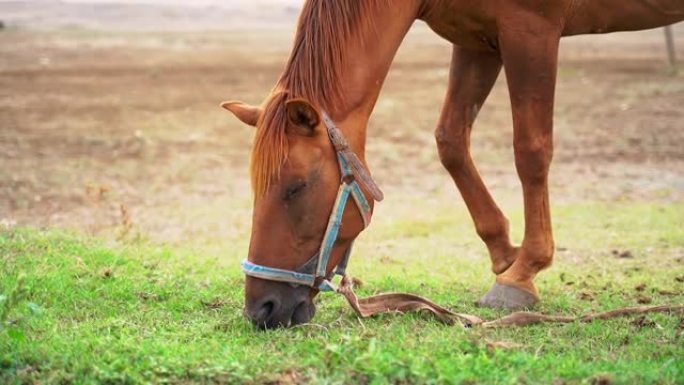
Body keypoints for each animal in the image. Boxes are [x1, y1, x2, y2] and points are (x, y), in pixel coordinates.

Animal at [222, 0, 680, 330]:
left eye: (296, 187)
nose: (261, 309)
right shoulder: (477, 39)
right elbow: (451, 140)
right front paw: (504, 253)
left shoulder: (532, 30)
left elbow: (530, 149)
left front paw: (521, 274)